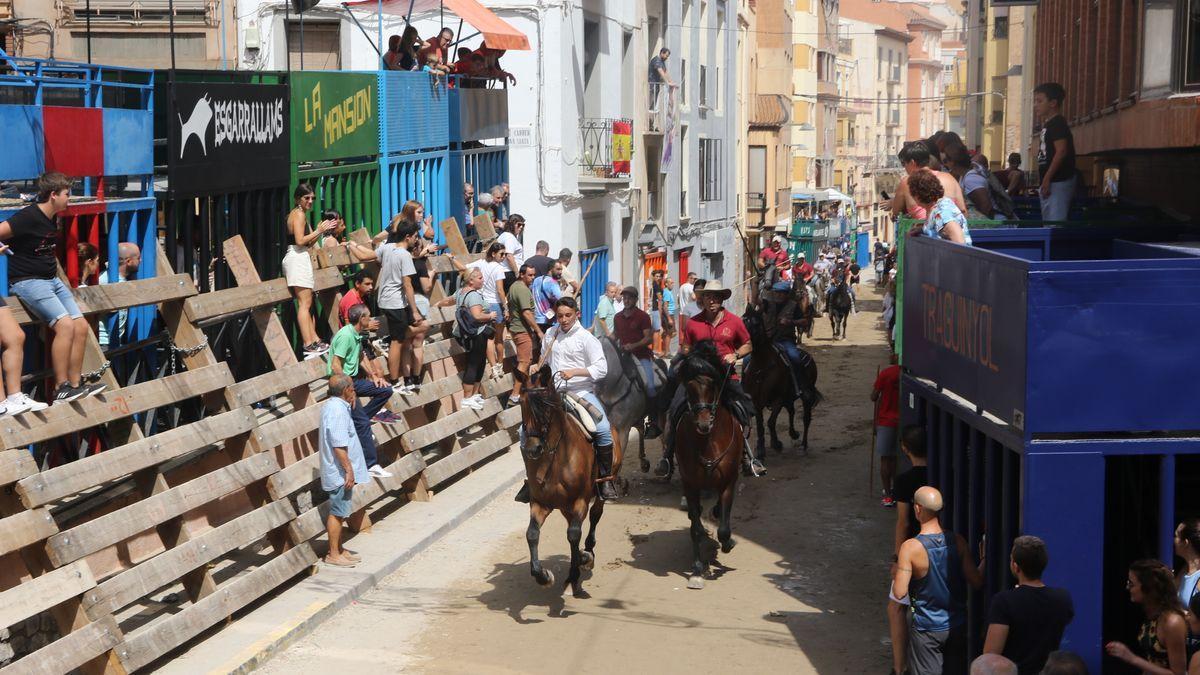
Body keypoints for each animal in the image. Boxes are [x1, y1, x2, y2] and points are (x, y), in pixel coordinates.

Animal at [513, 365, 624, 595]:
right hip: (563, 505)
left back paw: (587, 553)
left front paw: (579, 566)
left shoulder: (580, 501)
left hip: (602, 487)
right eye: (521, 403)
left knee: (594, 516)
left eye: (547, 406)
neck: (555, 457)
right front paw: (543, 576)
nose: (532, 449)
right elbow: (532, 535)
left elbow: (573, 534)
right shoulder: (540, 503)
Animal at [676, 338, 739, 586]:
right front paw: (696, 569)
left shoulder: (729, 482)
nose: (703, 424)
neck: (708, 442)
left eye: (712, 385)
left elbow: (723, 528)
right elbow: (694, 526)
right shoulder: (690, 484)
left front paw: (728, 542)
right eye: (689, 387)